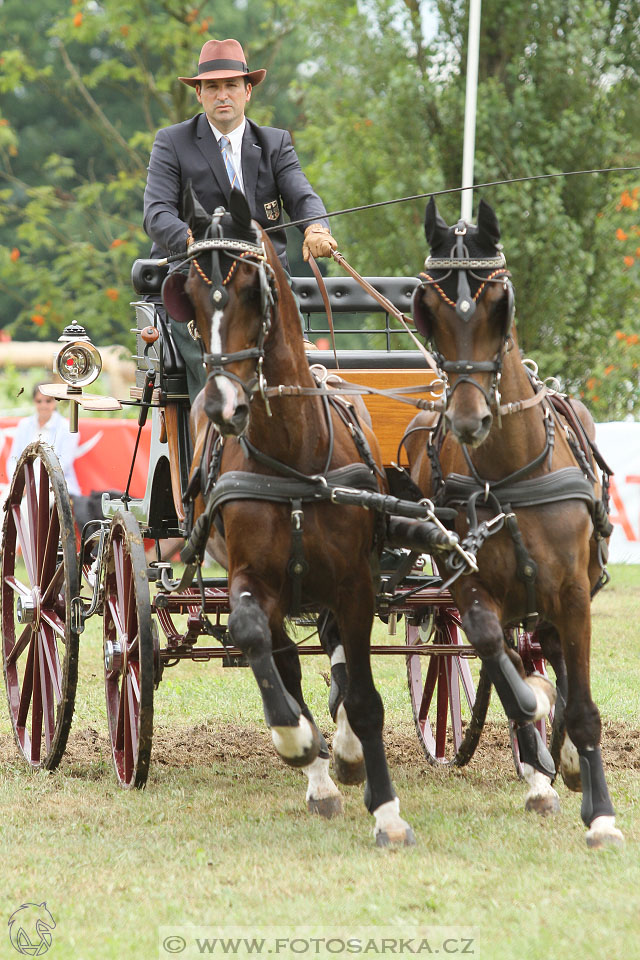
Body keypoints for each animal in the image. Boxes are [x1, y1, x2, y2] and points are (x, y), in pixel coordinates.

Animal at [160, 184, 450, 844]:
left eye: (253, 289)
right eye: (188, 295)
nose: (222, 406)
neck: (294, 454)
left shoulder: (355, 582)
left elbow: (363, 696)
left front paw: (385, 808)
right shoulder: (252, 580)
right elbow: (258, 646)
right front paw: (296, 740)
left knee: (339, 661)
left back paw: (343, 755)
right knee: (289, 663)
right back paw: (316, 765)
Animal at [408, 197, 624, 848]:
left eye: (498, 302)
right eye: (427, 308)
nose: (468, 419)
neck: (508, 476)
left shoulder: (574, 592)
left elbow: (581, 704)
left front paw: (601, 813)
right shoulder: (469, 585)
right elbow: (493, 657)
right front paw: (534, 735)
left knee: (555, 655)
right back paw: (540, 762)